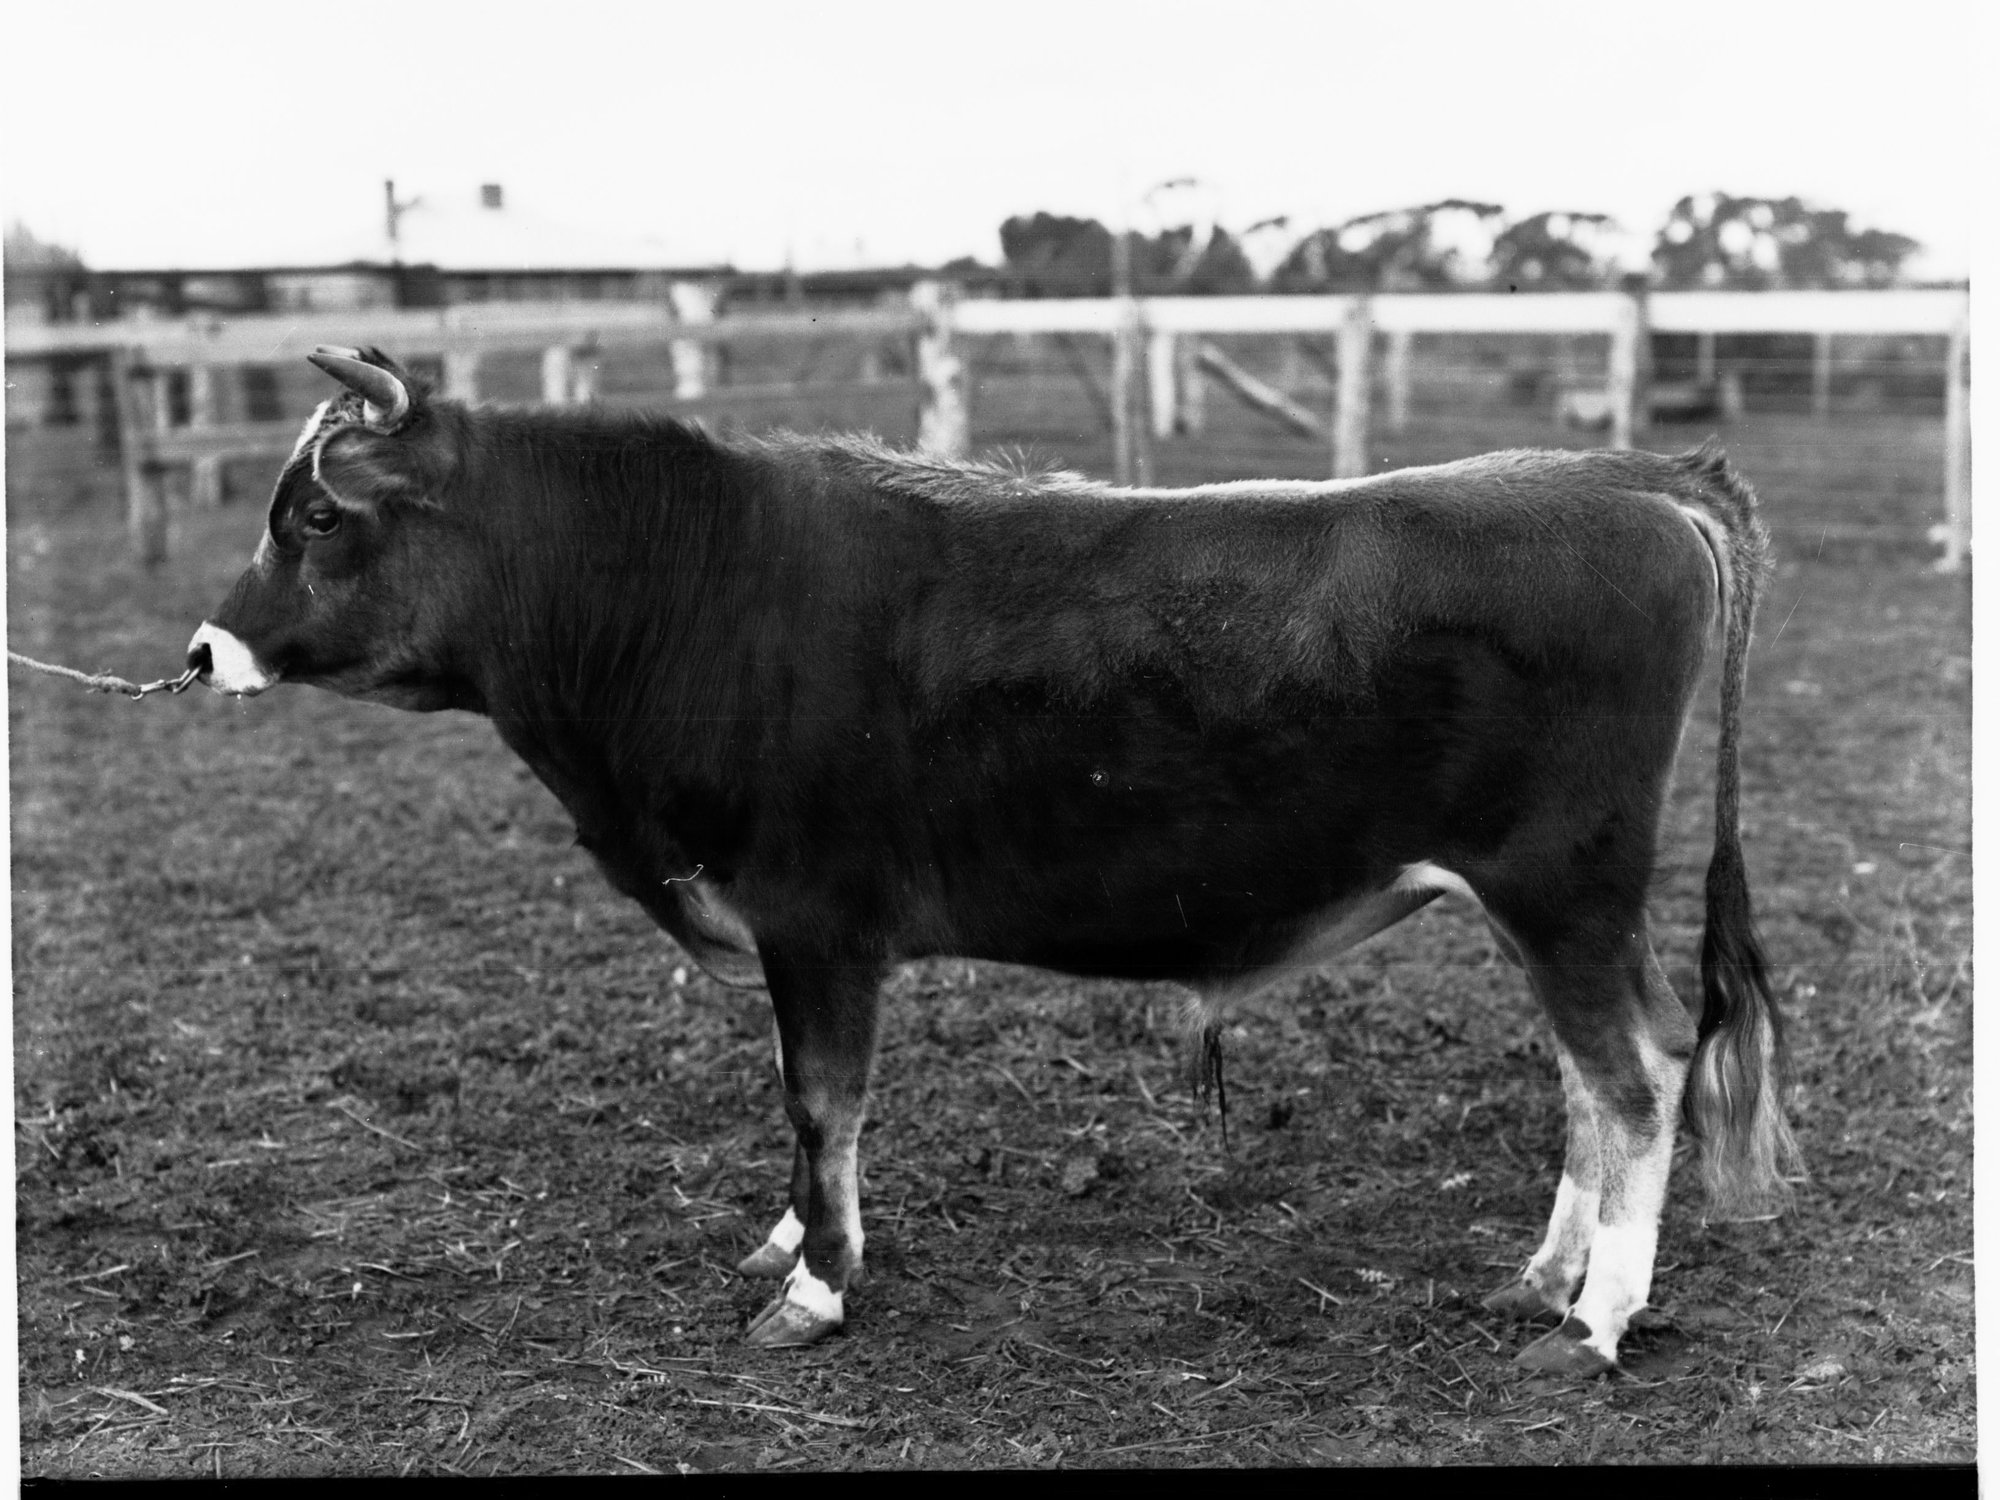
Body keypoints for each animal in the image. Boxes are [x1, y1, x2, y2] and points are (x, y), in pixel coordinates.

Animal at [187, 345, 1797, 1378]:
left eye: (318, 513)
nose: (202, 652)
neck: (691, 591)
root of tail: (1629, 482)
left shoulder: (817, 918)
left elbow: (821, 1100)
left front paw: (818, 1290)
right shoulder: (796, 934)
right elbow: (806, 1109)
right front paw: (792, 1240)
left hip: (1564, 888)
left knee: (1637, 1076)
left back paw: (1597, 1322)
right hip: (1542, 906)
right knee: (1593, 1080)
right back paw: (1549, 1273)